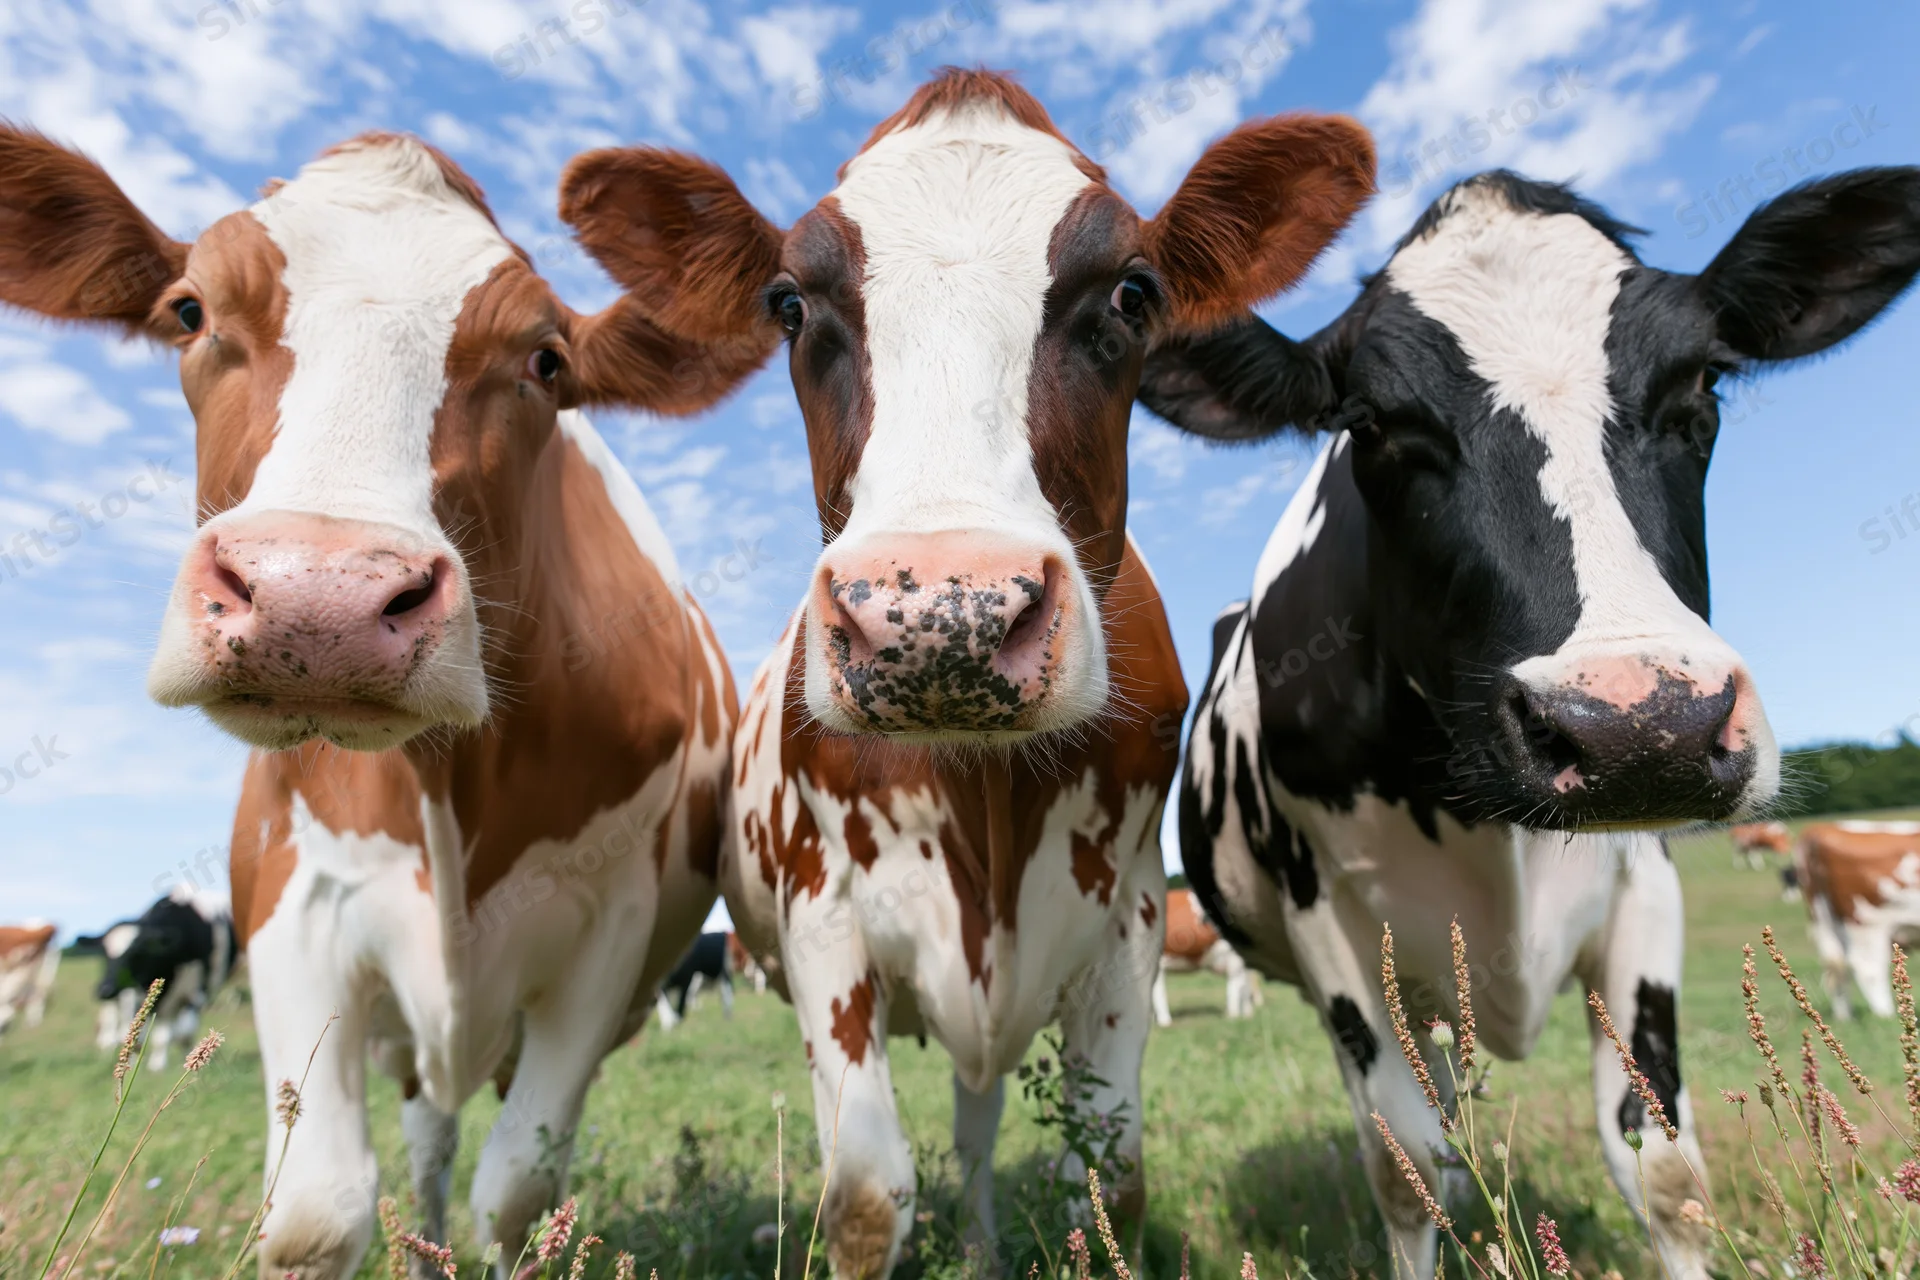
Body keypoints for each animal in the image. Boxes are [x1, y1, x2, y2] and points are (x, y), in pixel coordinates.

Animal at [87, 890, 236, 1070]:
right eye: (104, 952)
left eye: (137, 952)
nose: (104, 989)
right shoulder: (138, 994)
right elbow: (138, 1037)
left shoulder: (198, 989)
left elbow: (183, 1033)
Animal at [1151, 887, 1261, 1025]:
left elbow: (1158, 994)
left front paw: (1165, 1023)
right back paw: (1246, 1015)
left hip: (1235, 956)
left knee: (1236, 984)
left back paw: (1233, 1016)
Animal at [1796, 821, 1920, 1019]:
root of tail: (1819, 830)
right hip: (1866, 923)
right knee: (1868, 968)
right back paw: (1887, 1016)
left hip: (1825, 919)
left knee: (1835, 965)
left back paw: (1844, 1018)